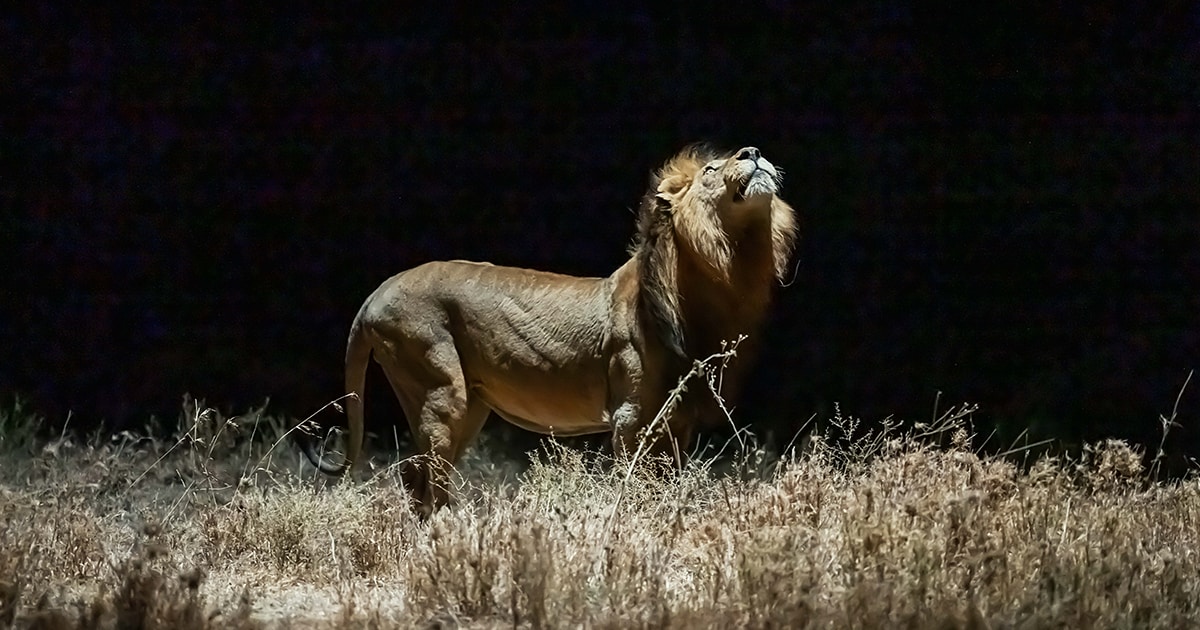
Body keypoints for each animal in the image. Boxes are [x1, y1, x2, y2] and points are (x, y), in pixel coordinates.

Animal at [299, 145, 798, 515]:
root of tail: (376, 294)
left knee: (418, 475)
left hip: (470, 406)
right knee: (423, 477)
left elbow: (666, 484)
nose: (753, 151)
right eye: (713, 167)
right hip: (438, 388)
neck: (728, 266)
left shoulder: (679, 419)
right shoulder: (632, 415)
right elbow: (635, 485)